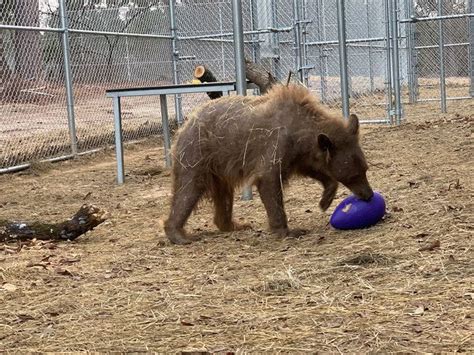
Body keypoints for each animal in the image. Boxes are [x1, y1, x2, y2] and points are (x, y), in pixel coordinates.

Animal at [165, 84, 372, 245]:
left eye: (365, 169)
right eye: (354, 175)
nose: (369, 195)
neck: (301, 133)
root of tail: (185, 124)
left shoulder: (299, 155)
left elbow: (313, 170)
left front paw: (325, 200)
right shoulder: (276, 145)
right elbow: (269, 182)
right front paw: (288, 230)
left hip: (218, 166)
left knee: (223, 194)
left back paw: (234, 224)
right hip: (196, 153)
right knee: (189, 189)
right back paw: (179, 234)